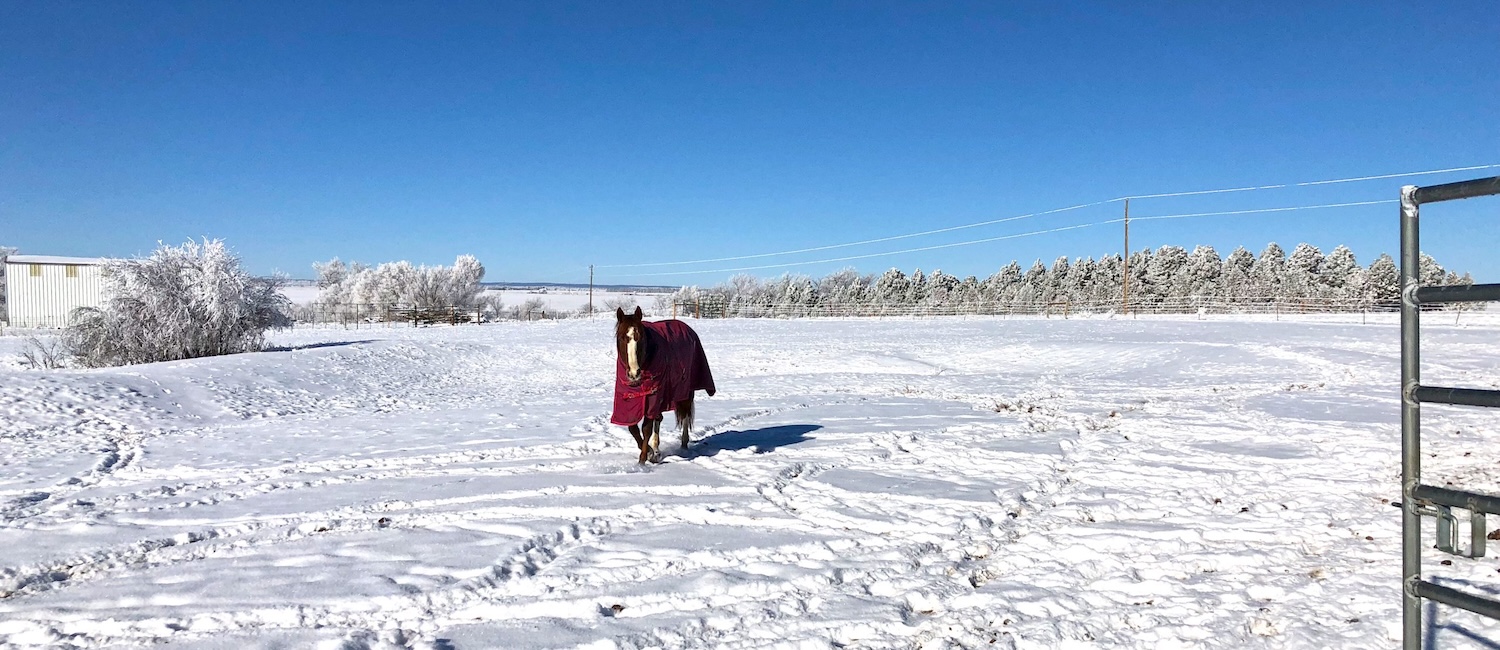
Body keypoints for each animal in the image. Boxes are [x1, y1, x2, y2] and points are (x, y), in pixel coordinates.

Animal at [611, 306, 717, 463]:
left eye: (641, 338)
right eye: (621, 337)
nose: (634, 373)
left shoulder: (653, 395)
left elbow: (646, 428)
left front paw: (643, 459)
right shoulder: (628, 399)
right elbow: (633, 428)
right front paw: (650, 452)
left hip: (686, 391)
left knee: (685, 414)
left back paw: (683, 444)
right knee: (659, 418)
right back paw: (656, 449)